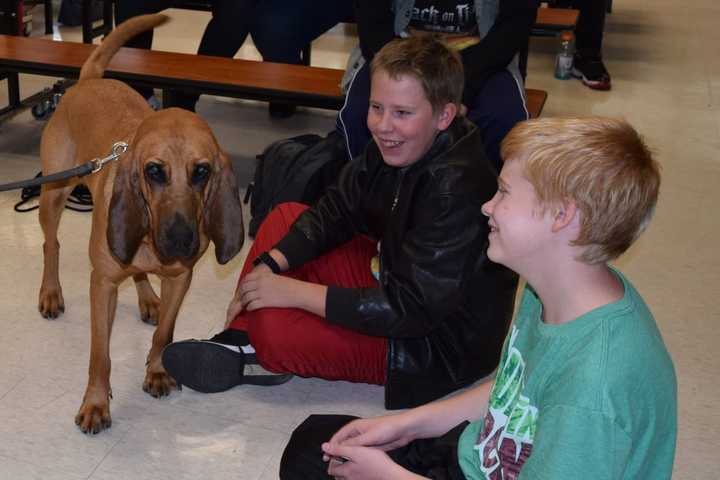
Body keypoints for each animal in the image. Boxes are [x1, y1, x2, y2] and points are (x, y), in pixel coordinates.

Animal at [36, 15, 245, 436]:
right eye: (154, 171)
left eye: (202, 171)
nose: (180, 239)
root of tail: (89, 80)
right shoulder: (102, 285)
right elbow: (100, 356)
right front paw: (96, 404)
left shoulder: (180, 278)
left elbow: (165, 333)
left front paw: (158, 371)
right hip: (54, 191)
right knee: (52, 244)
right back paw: (51, 292)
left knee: (138, 274)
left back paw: (148, 298)